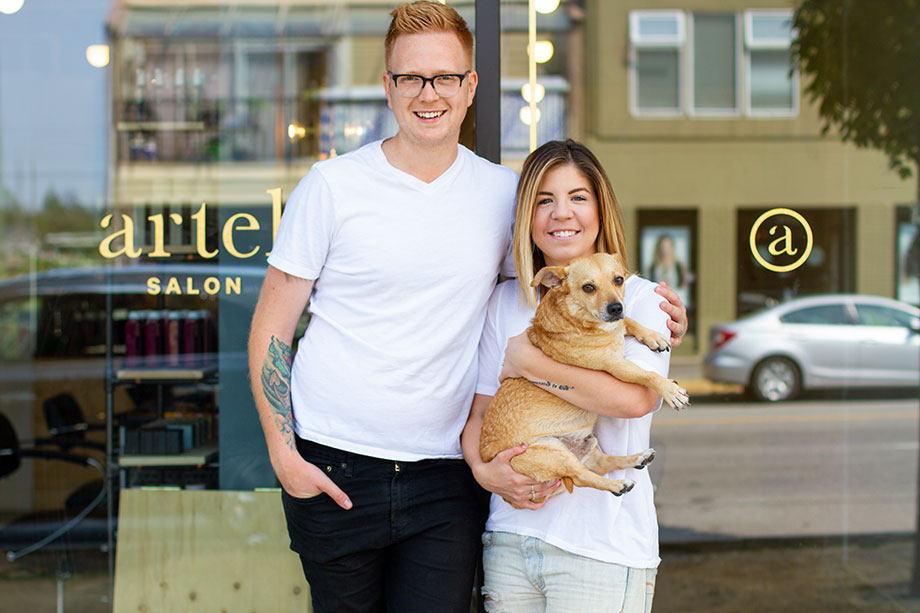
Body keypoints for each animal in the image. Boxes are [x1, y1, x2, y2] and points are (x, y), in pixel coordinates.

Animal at [482, 251, 688, 504]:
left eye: (619, 280)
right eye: (588, 287)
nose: (616, 307)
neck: (580, 320)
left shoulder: (618, 326)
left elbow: (629, 322)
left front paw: (652, 336)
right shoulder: (616, 366)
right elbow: (647, 374)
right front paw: (671, 390)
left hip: (585, 448)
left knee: (603, 463)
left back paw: (637, 458)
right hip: (553, 453)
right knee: (582, 476)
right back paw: (618, 484)